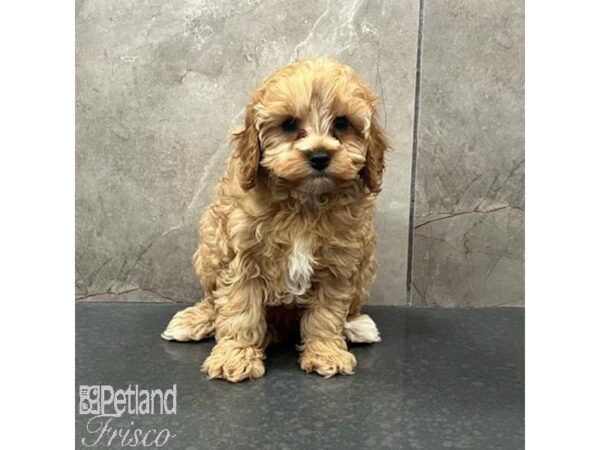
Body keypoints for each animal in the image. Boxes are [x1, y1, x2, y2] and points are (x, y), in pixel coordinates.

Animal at [163, 54, 390, 382]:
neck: (303, 200)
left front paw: (326, 353)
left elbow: (326, 314)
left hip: (366, 261)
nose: (319, 156)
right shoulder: (242, 256)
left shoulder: (338, 262)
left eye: (342, 123)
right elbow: (239, 311)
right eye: (289, 124)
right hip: (209, 246)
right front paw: (235, 357)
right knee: (213, 300)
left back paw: (356, 326)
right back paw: (195, 321)